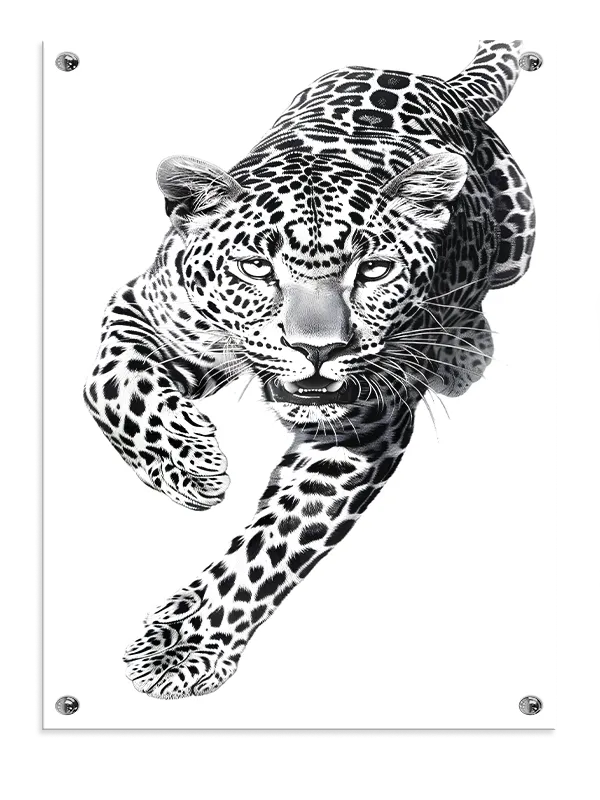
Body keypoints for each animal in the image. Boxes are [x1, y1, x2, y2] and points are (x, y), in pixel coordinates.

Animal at [83, 40, 535, 699]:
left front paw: (185, 647)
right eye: (255, 267)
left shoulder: (363, 429)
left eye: (373, 271)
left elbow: (273, 544)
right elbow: (111, 387)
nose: (317, 349)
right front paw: (191, 469)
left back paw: (463, 355)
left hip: (519, 247)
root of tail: (444, 83)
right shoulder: (145, 305)